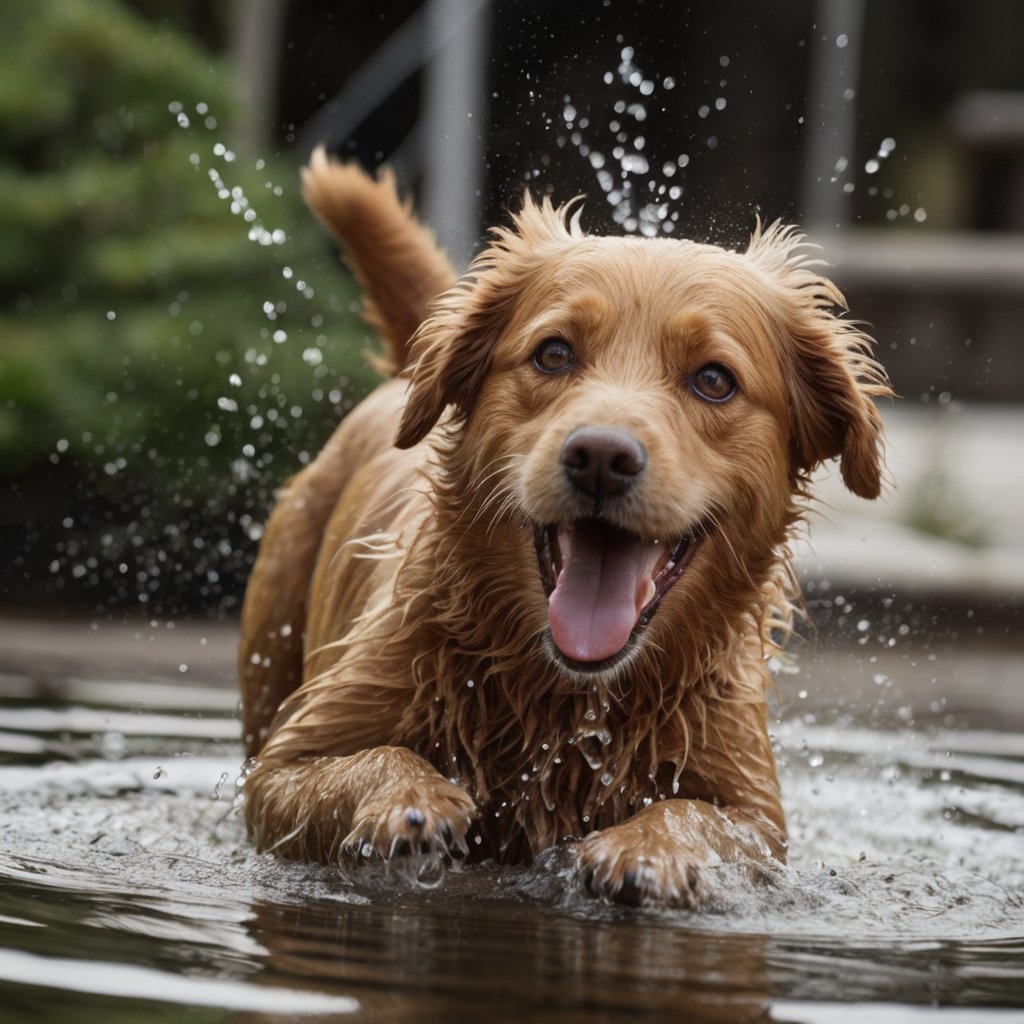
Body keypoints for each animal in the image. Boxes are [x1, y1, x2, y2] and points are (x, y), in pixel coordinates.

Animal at [237, 148, 888, 909]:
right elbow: (355, 762)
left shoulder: (758, 817)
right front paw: (409, 798)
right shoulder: (280, 771)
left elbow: (697, 814)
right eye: (553, 353)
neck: (566, 701)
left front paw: (650, 847)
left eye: (714, 380)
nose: (601, 457)